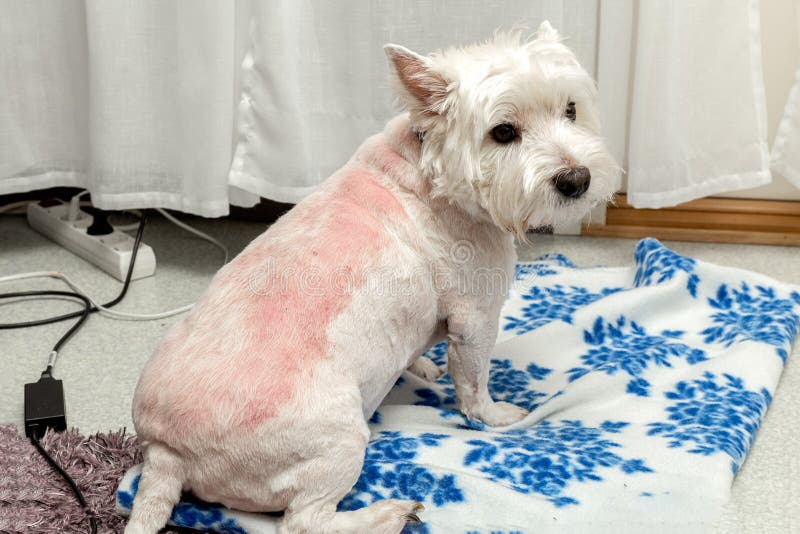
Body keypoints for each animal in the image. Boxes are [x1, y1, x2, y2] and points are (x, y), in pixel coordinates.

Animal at [125, 22, 616, 534]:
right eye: (503, 132)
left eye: (571, 109)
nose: (577, 180)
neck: (432, 169)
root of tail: (165, 452)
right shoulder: (476, 317)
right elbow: (473, 383)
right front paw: (495, 414)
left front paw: (422, 367)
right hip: (336, 438)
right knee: (303, 522)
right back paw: (390, 512)